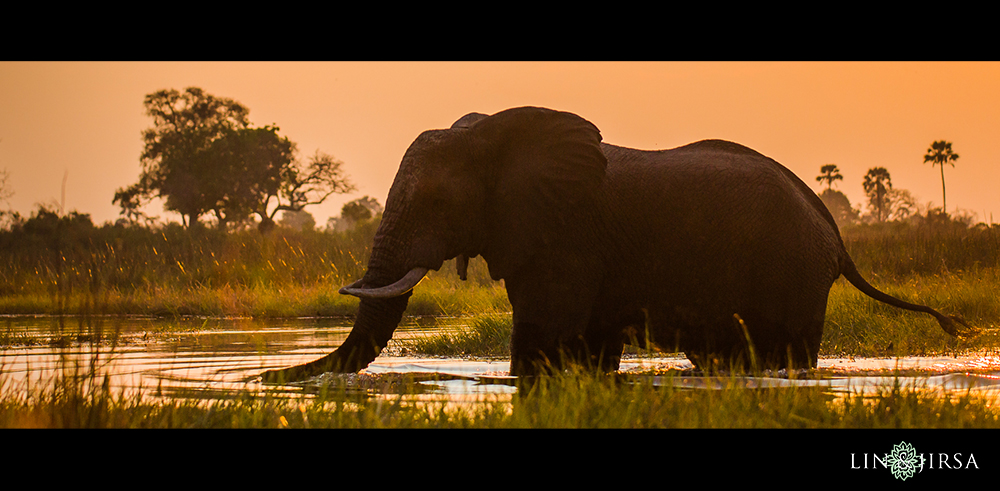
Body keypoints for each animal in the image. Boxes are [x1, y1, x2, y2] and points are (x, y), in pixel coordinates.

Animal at [260, 105, 976, 382]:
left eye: (437, 202)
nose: (261, 378)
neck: (494, 132)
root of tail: (834, 232)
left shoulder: (565, 236)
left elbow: (545, 336)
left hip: (792, 273)